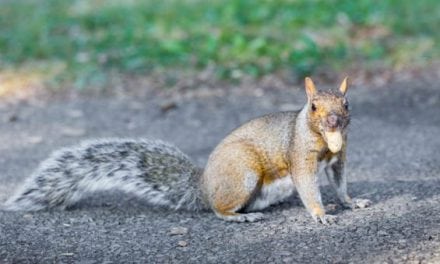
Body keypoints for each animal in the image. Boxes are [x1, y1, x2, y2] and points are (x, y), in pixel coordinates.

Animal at [1, 77, 370, 224]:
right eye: (313, 107)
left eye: (346, 104)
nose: (334, 121)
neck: (325, 140)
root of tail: (203, 187)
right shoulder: (299, 157)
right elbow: (308, 186)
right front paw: (321, 214)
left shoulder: (339, 160)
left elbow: (340, 184)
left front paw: (352, 203)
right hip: (243, 173)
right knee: (219, 210)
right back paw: (240, 216)